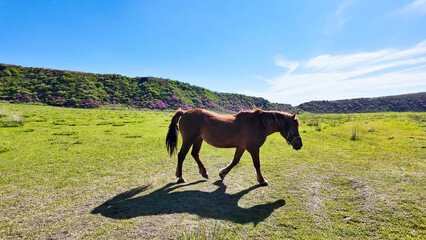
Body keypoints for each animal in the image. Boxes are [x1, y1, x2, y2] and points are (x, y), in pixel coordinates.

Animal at [165, 108, 302, 186]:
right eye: (295, 127)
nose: (299, 145)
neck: (258, 124)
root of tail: (184, 113)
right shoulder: (253, 148)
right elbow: (257, 164)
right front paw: (262, 180)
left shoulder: (241, 147)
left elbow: (235, 161)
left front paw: (222, 173)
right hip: (189, 140)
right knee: (182, 155)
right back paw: (180, 177)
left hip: (198, 139)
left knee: (195, 154)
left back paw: (204, 172)